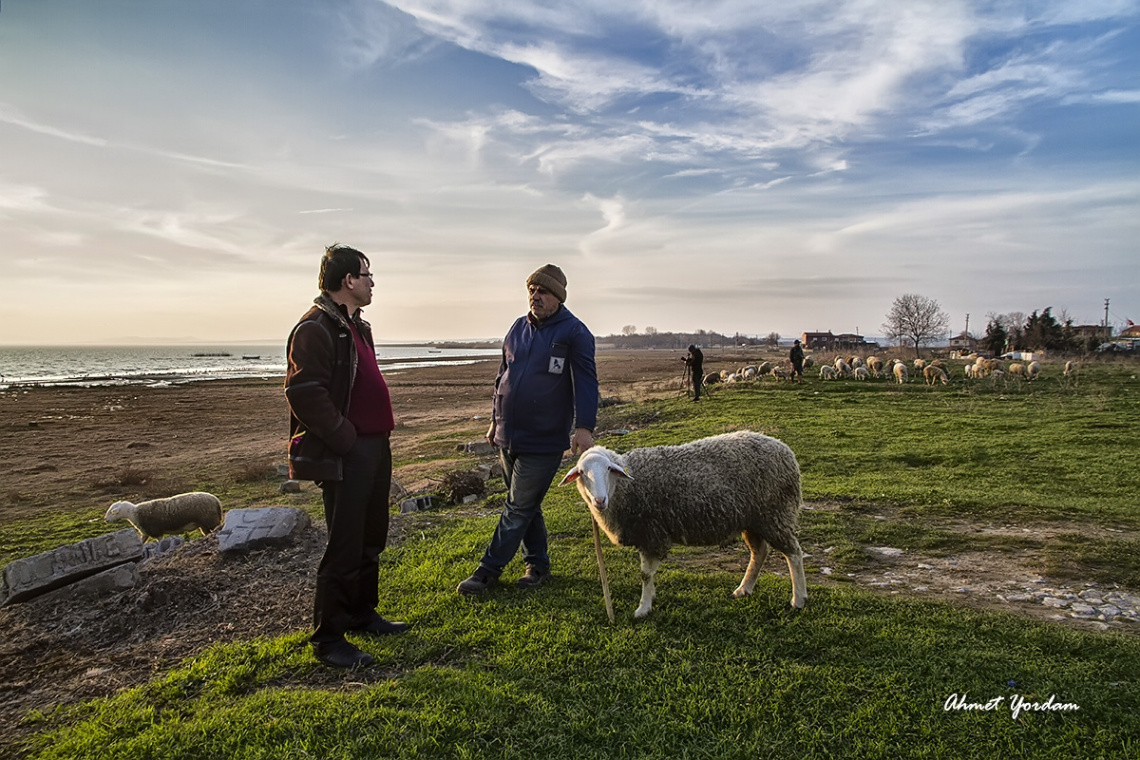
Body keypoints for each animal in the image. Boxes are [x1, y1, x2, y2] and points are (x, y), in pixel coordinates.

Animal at [556, 432, 807, 619]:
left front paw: (643, 608)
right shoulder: (647, 534)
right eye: (582, 473)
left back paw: (798, 599)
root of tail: (785, 450)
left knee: (793, 553)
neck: (626, 488)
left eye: (608, 469)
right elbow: (648, 575)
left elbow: (645, 574)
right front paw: (651, 598)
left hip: (775, 514)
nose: (599, 500)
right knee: (760, 552)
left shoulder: (652, 533)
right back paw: (743, 589)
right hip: (753, 519)